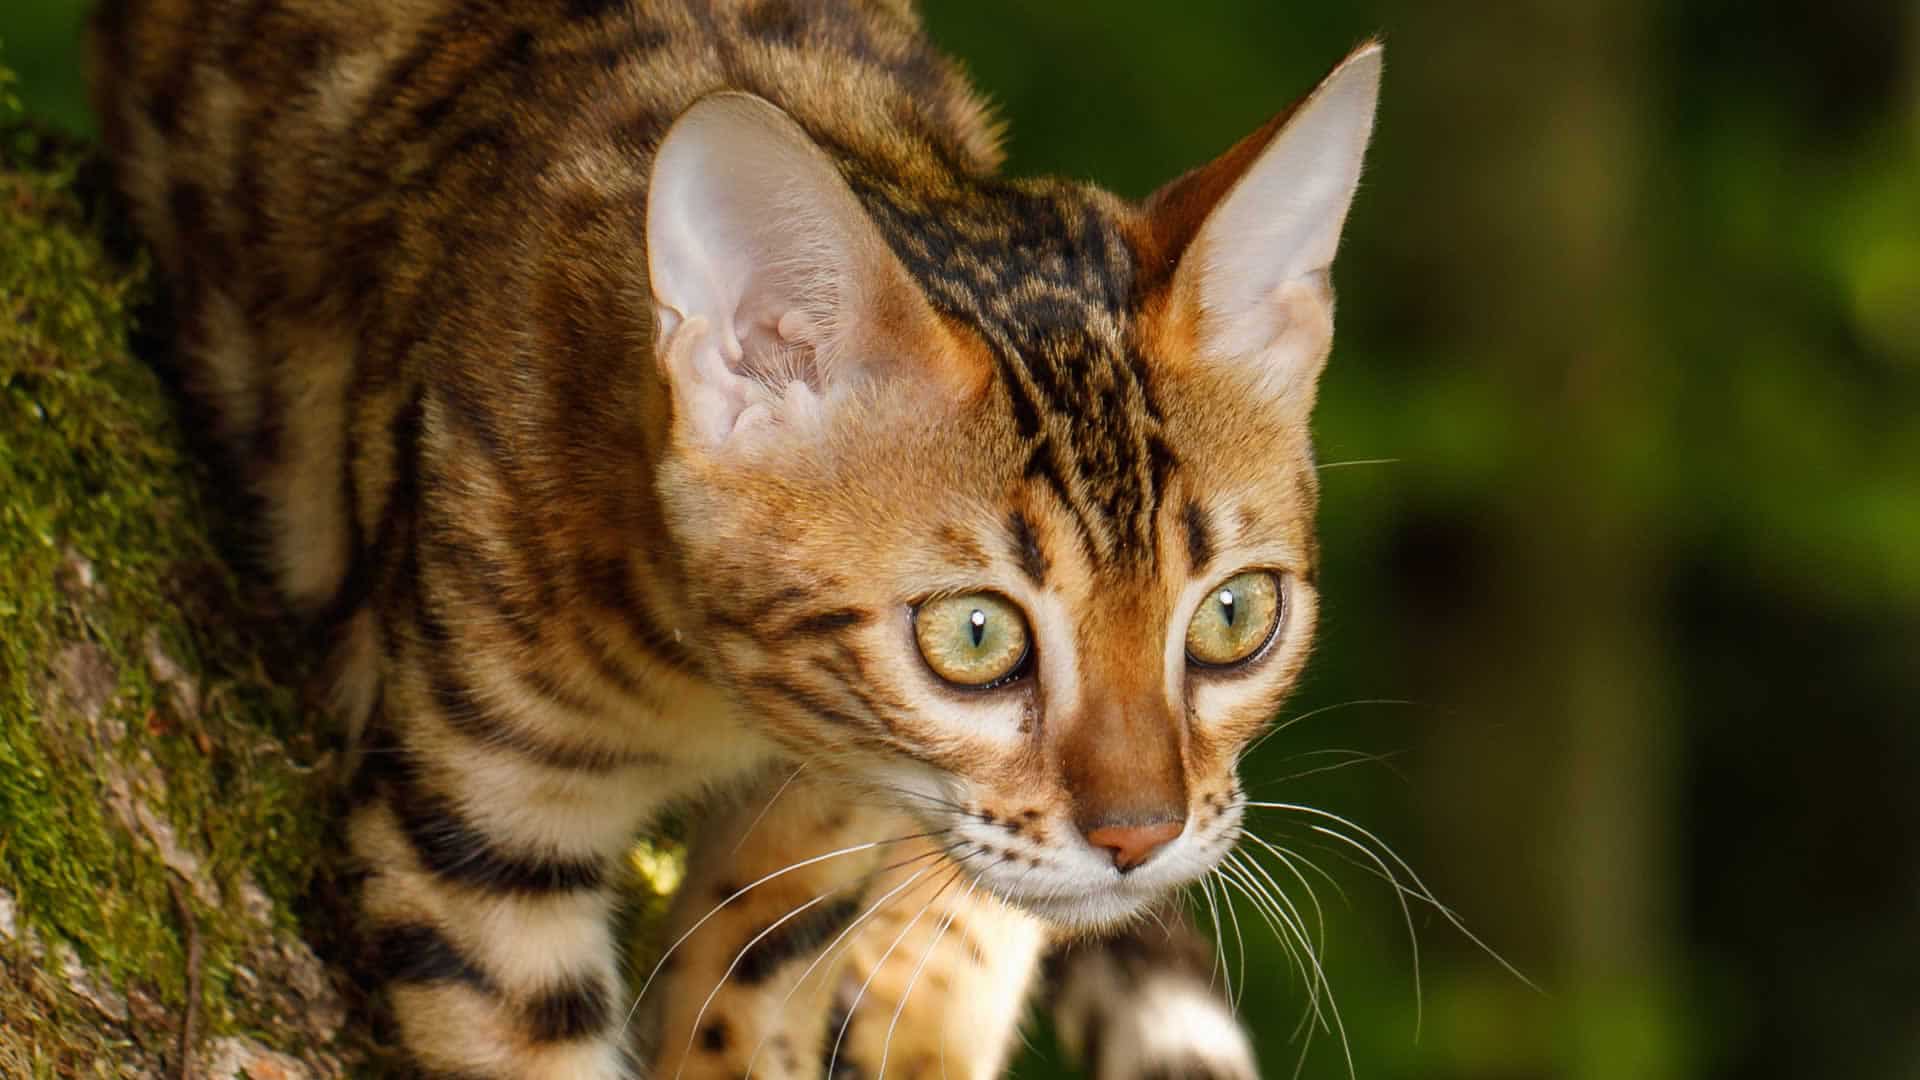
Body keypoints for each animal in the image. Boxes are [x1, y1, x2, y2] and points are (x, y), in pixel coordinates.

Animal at [90, 4, 1382, 1068]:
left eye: (1235, 616)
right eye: (973, 636)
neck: (715, 696)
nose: (1139, 837)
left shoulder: (828, 827)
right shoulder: (474, 824)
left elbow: (749, 1000)